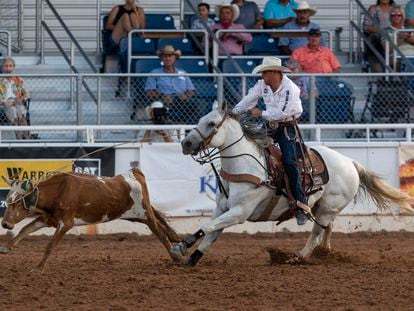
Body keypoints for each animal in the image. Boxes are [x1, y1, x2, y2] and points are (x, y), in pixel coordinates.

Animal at [0, 167, 181, 272]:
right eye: (8, 200)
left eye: (17, 202)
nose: (5, 224)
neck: (59, 191)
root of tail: (134, 174)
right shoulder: (47, 218)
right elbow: (25, 229)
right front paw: (7, 247)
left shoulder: (66, 223)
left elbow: (50, 246)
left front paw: (38, 268)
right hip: (134, 215)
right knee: (161, 225)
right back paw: (176, 244)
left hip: (145, 213)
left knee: (160, 233)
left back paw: (177, 258)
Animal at [171, 102, 410, 266]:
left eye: (211, 123)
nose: (186, 143)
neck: (246, 166)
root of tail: (350, 161)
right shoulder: (222, 209)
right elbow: (211, 232)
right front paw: (190, 257)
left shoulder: (239, 212)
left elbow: (207, 227)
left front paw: (181, 245)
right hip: (323, 206)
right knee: (328, 228)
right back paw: (326, 253)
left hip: (327, 207)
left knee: (316, 233)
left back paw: (298, 258)